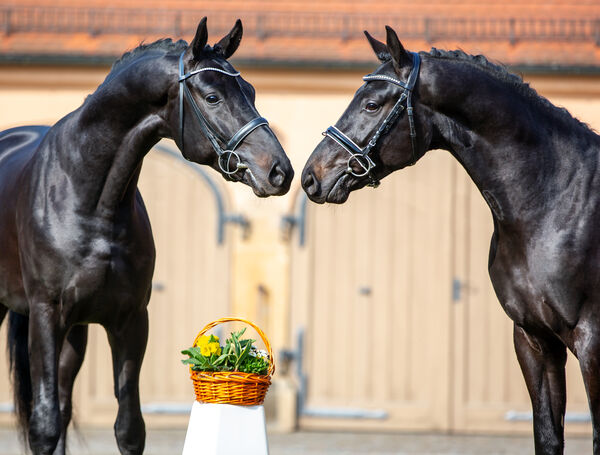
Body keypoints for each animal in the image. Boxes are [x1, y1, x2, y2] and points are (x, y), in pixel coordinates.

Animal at [0, 17, 292, 455]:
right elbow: (45, 425)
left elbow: (129, 427)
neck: (90, 200)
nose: (279, 171)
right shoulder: (46, 315)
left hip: (76, 331)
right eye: (212, 97)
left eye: (253, 92)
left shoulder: (131, 320)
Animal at [304, 24, 600, 455]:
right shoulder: (534, 340)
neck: (554, 200)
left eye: (372, 104)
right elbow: (547, 436)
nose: (311, 176)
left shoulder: (592, 343)